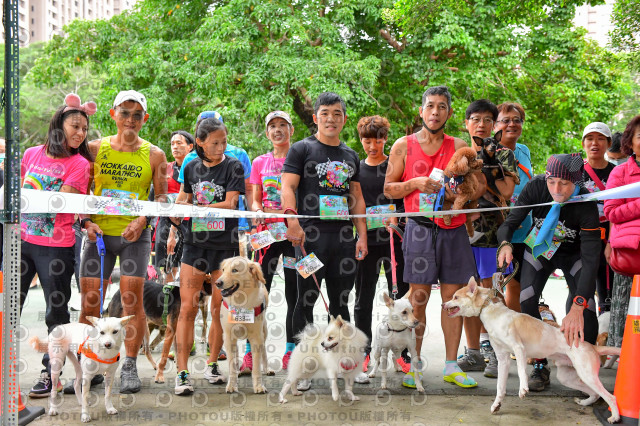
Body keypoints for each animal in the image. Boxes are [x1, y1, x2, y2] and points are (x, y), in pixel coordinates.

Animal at [216, 256, 274, 392]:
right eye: (223, 270)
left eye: (235, 270)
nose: (217, 283)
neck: (240, 302)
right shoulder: (228, 336)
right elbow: (231, 364)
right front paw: (232, 385)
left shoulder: (257, 337)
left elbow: (256, 366)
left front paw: (258, 386)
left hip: (264, 331)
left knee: (264, 351)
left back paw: (267, 368)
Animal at [442, 280, 616, 422]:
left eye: (455, 297)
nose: (443, 305)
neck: (489, 309)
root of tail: (591, 345)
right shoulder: (503, 359)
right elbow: (500, 387)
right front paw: (497, 404)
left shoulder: (519, 348)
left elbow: (521, 371)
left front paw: (523, 389)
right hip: (569, 377)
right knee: (596, 394)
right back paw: (584, 402)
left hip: (587, 375)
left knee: (610, 396)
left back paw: (614, 417)